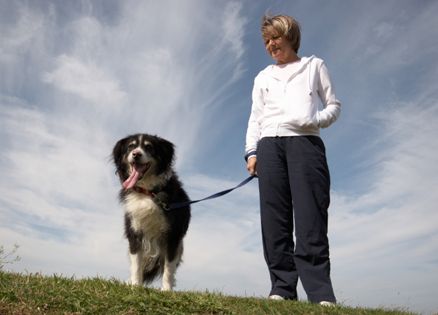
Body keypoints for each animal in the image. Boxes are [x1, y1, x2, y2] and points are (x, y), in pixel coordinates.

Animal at [112, 133, 191, 292]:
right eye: (131, 146)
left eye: (149, 147)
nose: (136, 154)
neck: (147, 192)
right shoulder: (134, 230)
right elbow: (136, 263)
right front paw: (135, 286)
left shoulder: (172, 235)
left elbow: (168, 267)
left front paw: (166, 290)